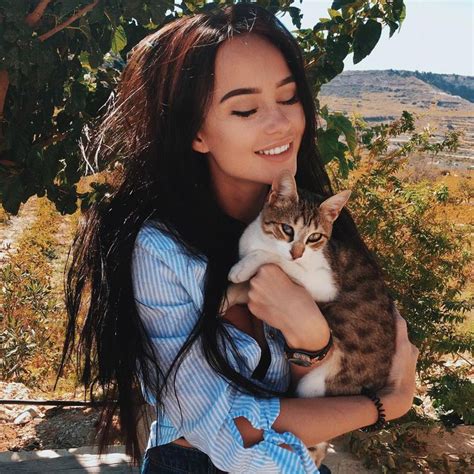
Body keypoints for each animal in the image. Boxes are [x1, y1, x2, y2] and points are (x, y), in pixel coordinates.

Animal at [222, 170, 396, 466]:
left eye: (315, 237)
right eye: (287, 229)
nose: (297, 252)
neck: (261, 239)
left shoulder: (324, 283)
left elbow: (275, 261)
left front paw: (243, 268)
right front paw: (226, 296)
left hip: (316, 384)